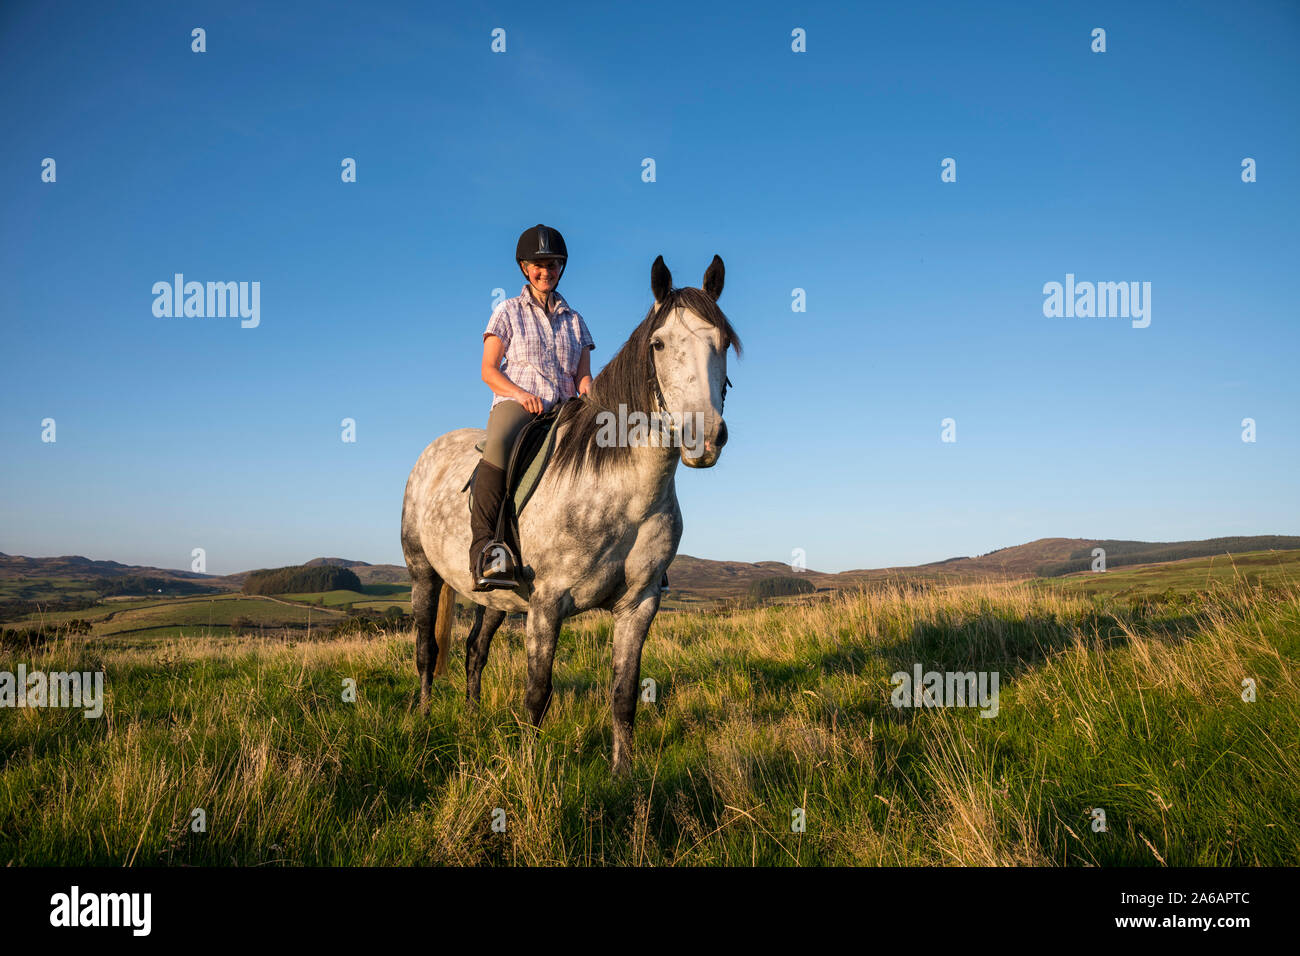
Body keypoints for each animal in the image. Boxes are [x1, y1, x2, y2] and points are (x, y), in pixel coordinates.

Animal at [400, 254, 741, 773]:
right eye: (659, 343)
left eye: (721, 342)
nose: (702, 437)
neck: (624, 493)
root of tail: (431, 452)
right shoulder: (547, 604)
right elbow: (538, 694)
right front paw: (529, 767)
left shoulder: (639, 604)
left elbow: (623, 694)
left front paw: (623, 773)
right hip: (424, 572)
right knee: (426, 649)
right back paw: (423, 716)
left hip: (495, 596)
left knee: (474, 650)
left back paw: (472, 715)